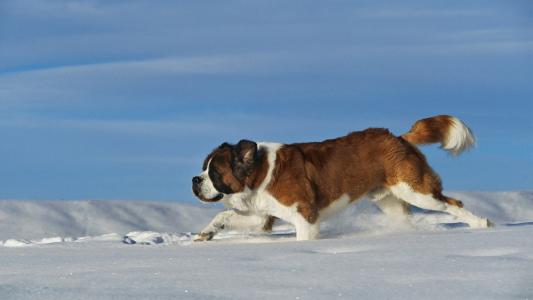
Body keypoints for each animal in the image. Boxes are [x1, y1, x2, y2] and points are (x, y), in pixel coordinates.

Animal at [192, 115, 490, 241]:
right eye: (204, 168)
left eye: (214, 172)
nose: (195, 179)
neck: (259, 172)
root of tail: (398, 138)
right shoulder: (262, 216)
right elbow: (224, 216)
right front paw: (207, 233)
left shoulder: (305, 215)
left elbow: (304, 237)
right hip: (391, 200)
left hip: (416, 190)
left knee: (453, 204)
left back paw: (482, 224)